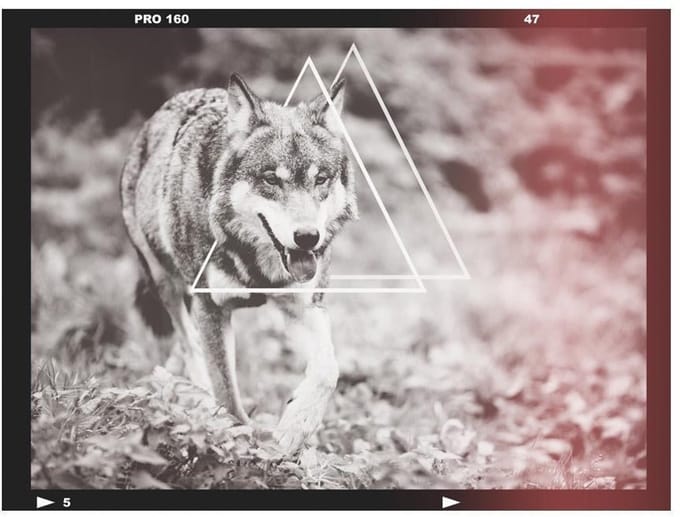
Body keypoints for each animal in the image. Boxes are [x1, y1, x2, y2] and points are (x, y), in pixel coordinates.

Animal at [120, 74, 357, 453]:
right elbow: (227, 392)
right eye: (271, 179)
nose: (308, 237)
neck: (255, 262)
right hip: (164, 281)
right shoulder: (210, 308)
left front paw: (296, 426)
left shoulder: (302, 306)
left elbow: (327, 370)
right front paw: (236, 441)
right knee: (189, 343)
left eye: (320, 179)